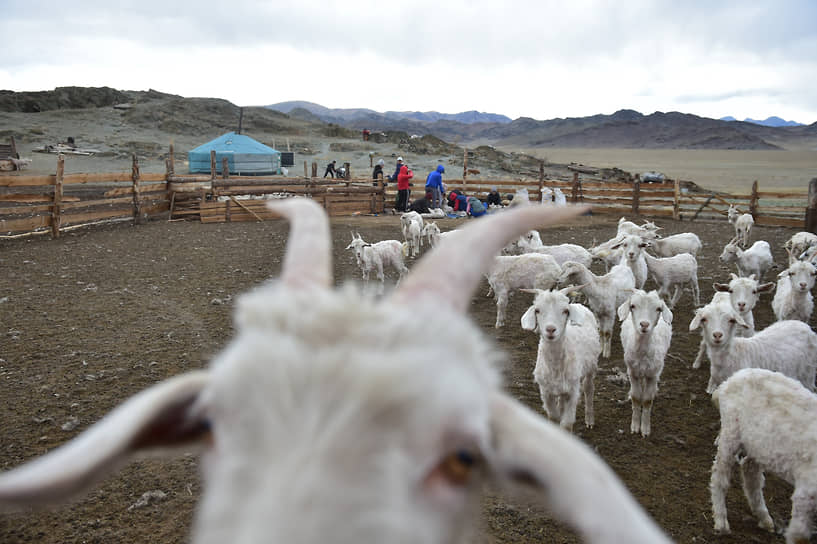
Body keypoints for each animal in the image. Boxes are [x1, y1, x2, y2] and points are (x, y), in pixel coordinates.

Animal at [520, 286, 604, 432]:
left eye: (565, 311)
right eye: (537, 310)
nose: (550, 329)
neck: (555, 366)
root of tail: (579, 305)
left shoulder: (573, 391)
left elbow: (567, 424)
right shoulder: (546, 391)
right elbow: (553, 417)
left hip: (591, 366)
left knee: (588, 387)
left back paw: (589, 420)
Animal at [620, 288, 668, 438]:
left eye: (658, 309)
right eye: (632, 306)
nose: (644, 325)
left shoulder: (652, 374)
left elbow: (647, 400)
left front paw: (645, 430)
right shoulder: (632, 372)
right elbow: (636, 397)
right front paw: (635, 427)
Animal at [708, 368, 816, 540]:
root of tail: (730, 380)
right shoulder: (806, 491)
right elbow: (799, 535)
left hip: (757, 444)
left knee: (750, 474)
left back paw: (764, 518)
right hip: (731, 431)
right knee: (719, 477)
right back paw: (721, 522)